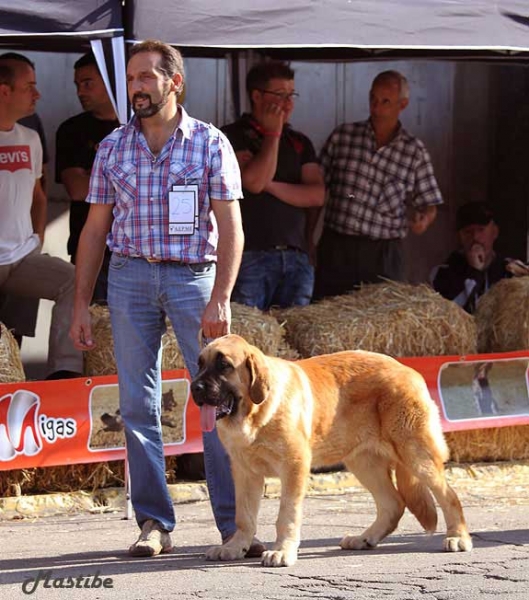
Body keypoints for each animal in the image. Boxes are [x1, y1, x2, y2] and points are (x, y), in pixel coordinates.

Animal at [192, 336, 472, 564]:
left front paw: (282, 551)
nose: (195, 387)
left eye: (224, 365)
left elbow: (287, 515)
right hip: (364, 463)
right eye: (200, 363)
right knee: (393, 504)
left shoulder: (294, 466)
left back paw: (458, 537)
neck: (255, 412)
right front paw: (235, 547)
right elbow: (244, 516)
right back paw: (364, 538)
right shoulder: (245, 472)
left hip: (415, 454)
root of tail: (407, 369)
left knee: (449, 496)